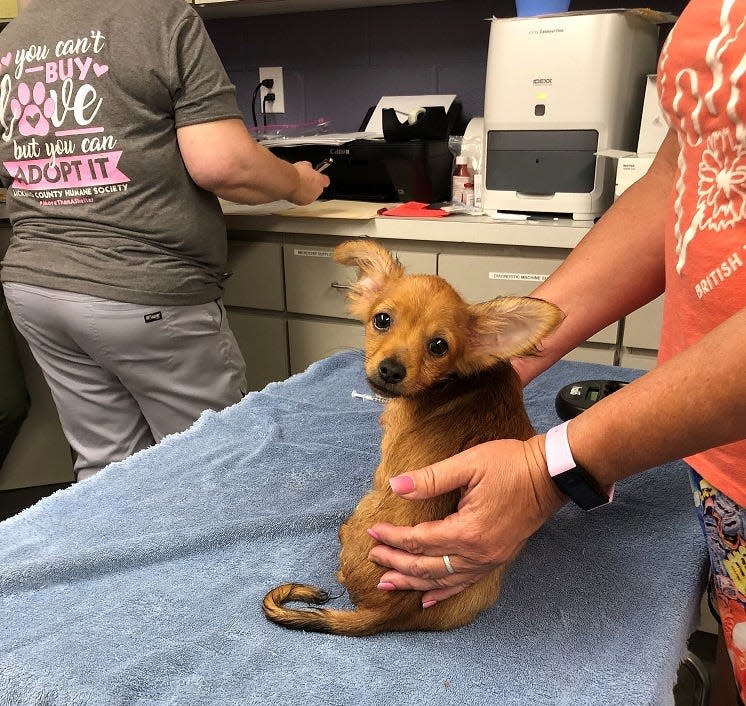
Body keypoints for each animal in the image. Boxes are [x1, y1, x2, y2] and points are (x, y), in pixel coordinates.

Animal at [264, 239, 560, 636]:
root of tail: (385, 616)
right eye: (382, 320)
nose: (390, 370)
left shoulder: (387, 457)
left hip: (366, 509)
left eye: (438, 346)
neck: (450, 382)